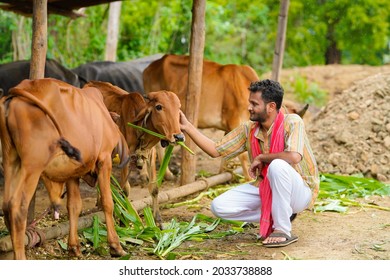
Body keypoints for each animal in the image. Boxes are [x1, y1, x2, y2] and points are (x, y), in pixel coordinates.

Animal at [0, 77, 128, 260]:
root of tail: (16, 92)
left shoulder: (72, 173)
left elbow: (74, 206)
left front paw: (73, 247)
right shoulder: (104, 159)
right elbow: (108, 203)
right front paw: (115, 246)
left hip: (11, 159)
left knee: (6, 206)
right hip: (33, 165)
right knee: (17, 207)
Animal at [83, 80, 184, 223]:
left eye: (178, 107)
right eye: (159, 107)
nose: (178, 136)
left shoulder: (150, 154)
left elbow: (154, 188)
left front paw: (158, 221)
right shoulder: (126, 158)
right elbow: (125, 189)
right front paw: (123, 220)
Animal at [142, 53, 308, 178]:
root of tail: (151, 66)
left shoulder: (231, 126)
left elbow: (226, 151)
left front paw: (222, 172)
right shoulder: (234, 120)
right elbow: (242, 156)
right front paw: (248, 179)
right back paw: (158, 174)